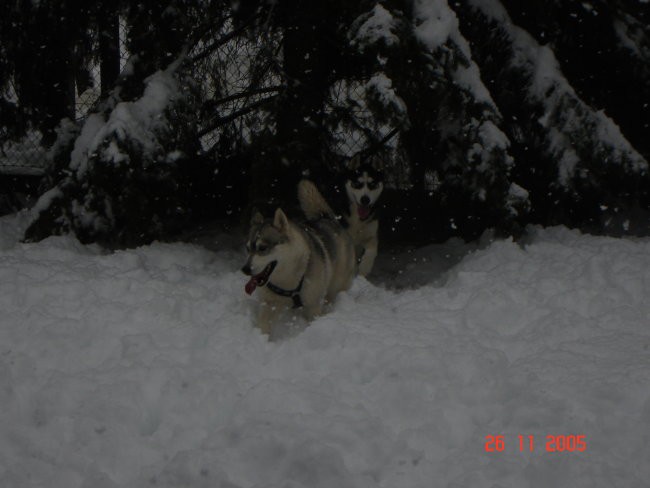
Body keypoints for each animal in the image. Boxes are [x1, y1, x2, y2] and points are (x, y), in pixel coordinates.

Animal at [239, 179, 352, 336]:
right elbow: (263, 325)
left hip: (336, 284)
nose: (245, 269)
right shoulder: (269, 303)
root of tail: (327, 218)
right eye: (248, 248)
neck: (287, 280)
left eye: (262, 248)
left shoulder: (313, 306)